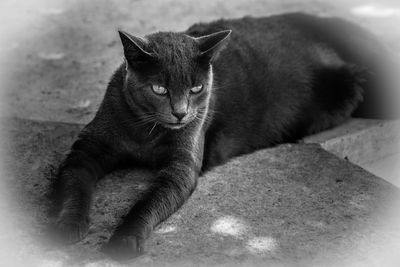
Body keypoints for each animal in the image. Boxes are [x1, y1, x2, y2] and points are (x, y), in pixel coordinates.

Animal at [48, 11, 398, 260]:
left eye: (196, 88)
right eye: (159, 89)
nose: (181, 113)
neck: (144, 133)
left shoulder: (181, 166)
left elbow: (148, 203)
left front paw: (125, 239)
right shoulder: (86, 149)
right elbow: (74, 186)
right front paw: (68, 226)